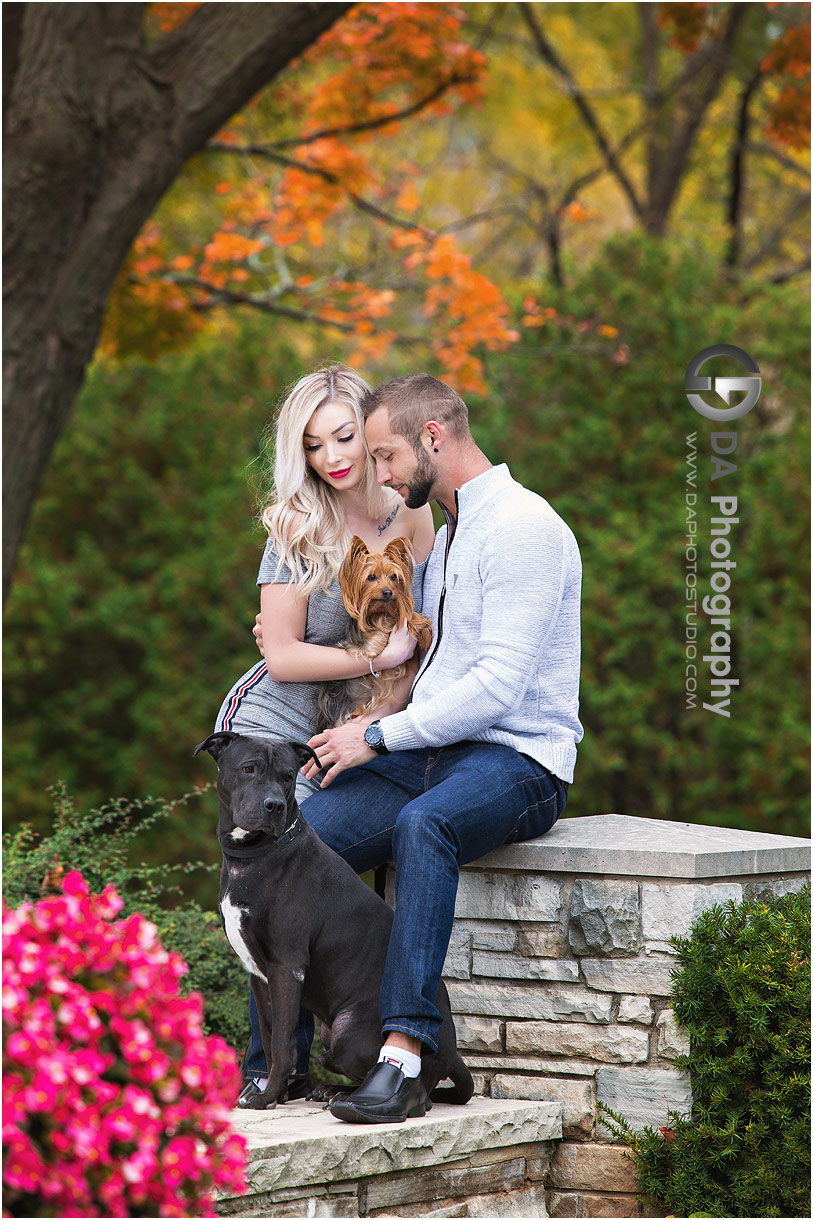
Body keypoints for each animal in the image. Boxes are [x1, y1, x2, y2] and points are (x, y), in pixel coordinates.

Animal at [194, 732, 471, 1117]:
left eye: (287, 776)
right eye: (248, 769)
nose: (273, 806)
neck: (254, 857)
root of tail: (452, 1055)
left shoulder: (287, 966)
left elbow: (283, 1043)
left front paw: (266, 1098)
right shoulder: (259, 974)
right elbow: (269, 1034)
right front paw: (271, 1093)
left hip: (346, 1033)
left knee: (417, 1091)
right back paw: (332, 1091)